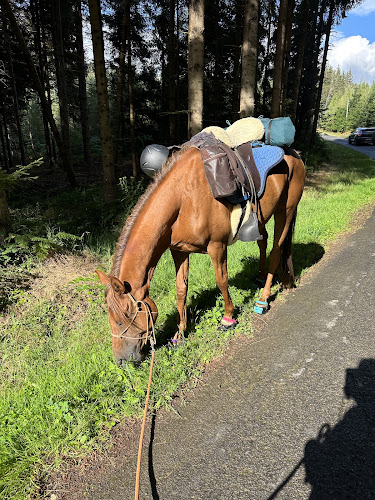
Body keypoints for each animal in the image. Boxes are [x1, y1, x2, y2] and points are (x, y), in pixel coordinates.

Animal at [97, 145, 306, 364]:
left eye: (124, 317)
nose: (121, 360)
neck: (183, 197)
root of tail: (295, 154)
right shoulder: (179, 251)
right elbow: (181, 290)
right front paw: (179, 334)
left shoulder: (217, 246)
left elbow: (222, 281)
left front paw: (228, 319)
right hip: (261, 218)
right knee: (262, 241)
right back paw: (259, 277)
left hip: (285, 211)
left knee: (276, 251)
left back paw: (263, 299)